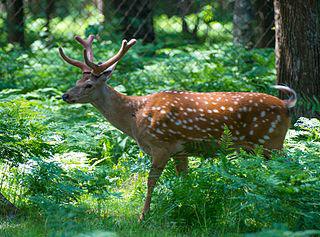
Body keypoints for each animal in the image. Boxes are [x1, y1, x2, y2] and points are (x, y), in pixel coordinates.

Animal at [58, 34, 296, 220]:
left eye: (89, 85)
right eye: (77, 82)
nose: (66, 95)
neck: (134, 118)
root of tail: (286, 105)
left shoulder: (161, 145)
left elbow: (151, 181)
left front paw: (144, 216)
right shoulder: (181, 150)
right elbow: (185, 180)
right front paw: (188, 205)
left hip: (271, 140)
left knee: (290, 165)